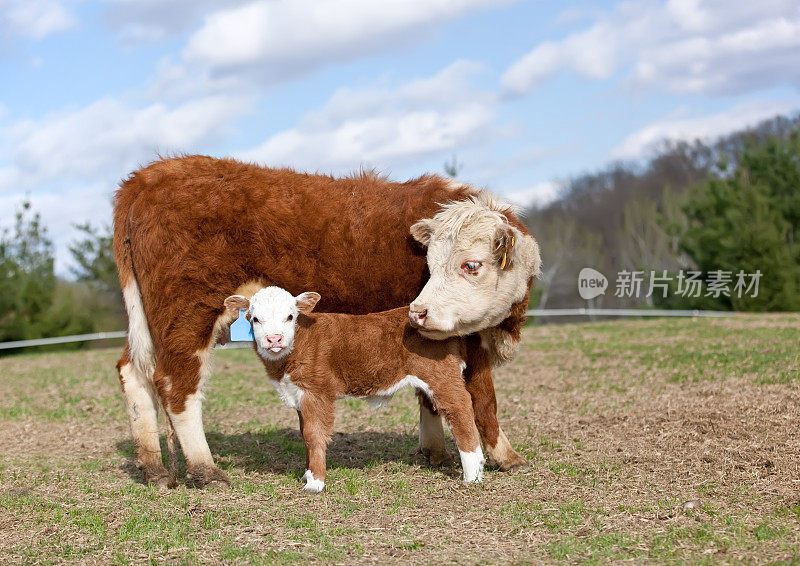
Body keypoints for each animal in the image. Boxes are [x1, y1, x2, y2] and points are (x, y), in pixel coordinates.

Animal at [227, 288, 488, 492]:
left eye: (290, 316)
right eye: (255, 319)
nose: (274, 339)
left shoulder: (316, 392)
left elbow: (314, 435)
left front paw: (315, 483)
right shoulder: (298, 394)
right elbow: (304, 433)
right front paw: (308, 474)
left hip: (441, 377)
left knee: (461, 411)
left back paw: (472, 476)